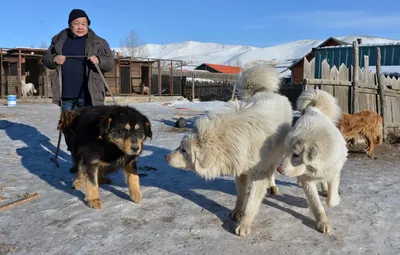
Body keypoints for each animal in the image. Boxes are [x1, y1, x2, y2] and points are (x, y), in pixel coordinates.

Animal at [166, 64, 294, 236]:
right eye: (180, 147)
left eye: (184, 150)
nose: (166, 157)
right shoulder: (241, 170)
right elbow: (241, 196)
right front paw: (237, 212)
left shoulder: (258, 173)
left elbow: (251, 204)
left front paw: (244, 225)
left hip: (277, 155)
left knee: (272, 169)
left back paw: (272, 185)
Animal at [276, 88, 348, 234]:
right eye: (287, 152)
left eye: (296, 155)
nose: (279, 169)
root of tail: (313, 109)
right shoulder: (307, 181)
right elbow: (316, 204)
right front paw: (322, 222)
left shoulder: (334, 172)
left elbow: (331, 200)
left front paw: (335, 198)